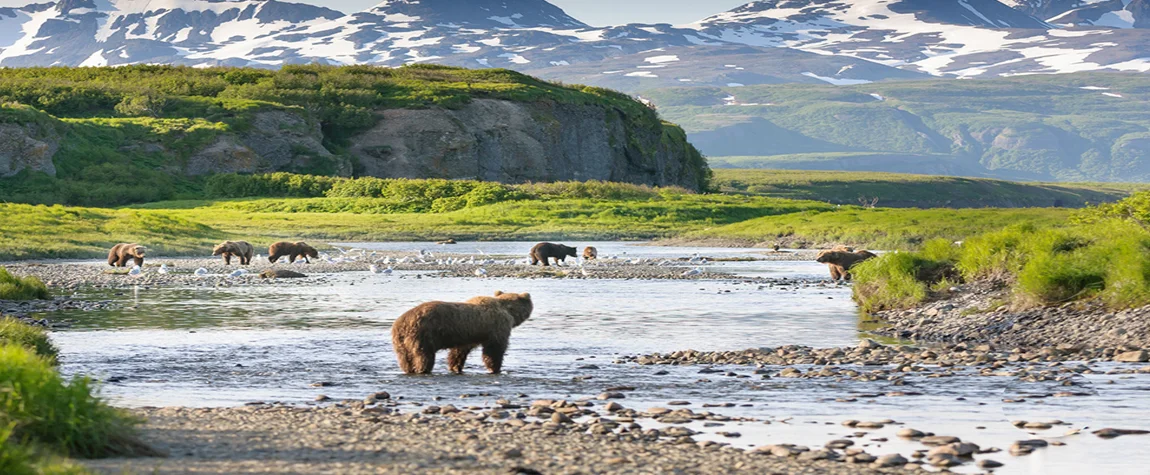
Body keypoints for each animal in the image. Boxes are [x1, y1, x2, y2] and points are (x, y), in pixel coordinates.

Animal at [391, 288, 533, 374]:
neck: (509, 311)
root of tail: (402, 322)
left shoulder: (468, 335)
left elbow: (459, 352)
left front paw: (455, 367)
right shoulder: (497, 328)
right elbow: (494, 350)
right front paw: (495, 368)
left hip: (400, 341)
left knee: (404, 358)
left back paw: (408, 369)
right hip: (423, 334)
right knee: (423, 355)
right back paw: (423, 369)